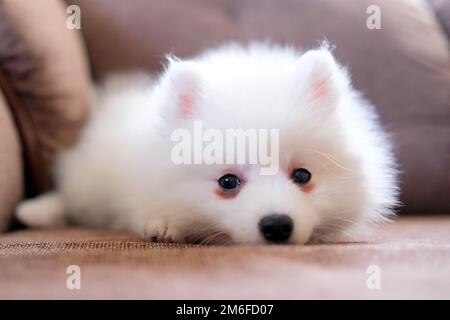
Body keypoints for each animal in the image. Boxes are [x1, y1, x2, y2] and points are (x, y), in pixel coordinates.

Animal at [15, 43, 400, 245]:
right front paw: (163, 225)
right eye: (227, 181)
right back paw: (35, 211)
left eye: (302, 176)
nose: (277, 225)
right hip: (90, 180)